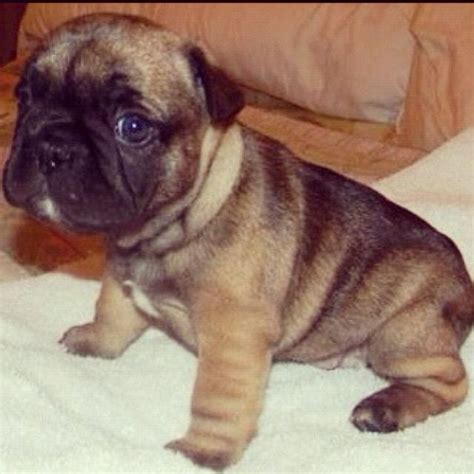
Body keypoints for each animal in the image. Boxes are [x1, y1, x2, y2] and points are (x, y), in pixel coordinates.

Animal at [3, 12, 474, 470]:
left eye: (132, 127)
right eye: (25, 98)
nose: (52, 146)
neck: (175, 226)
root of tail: (464, 284)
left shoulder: (233, 332)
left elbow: (217, 398)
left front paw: (202, 451)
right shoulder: (121, 273)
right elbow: (113, 312)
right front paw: (95, 341)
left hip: (400, 334)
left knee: (450, 380)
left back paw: (386, 408)